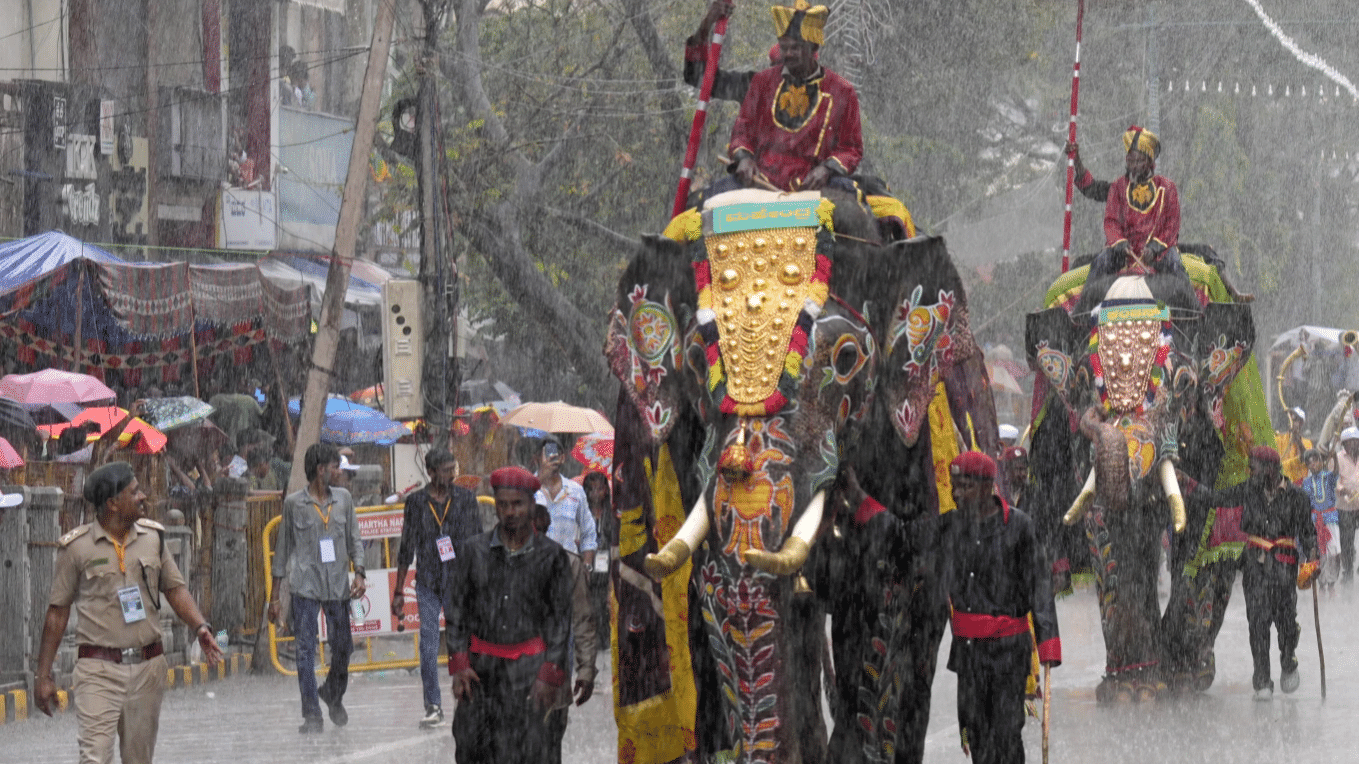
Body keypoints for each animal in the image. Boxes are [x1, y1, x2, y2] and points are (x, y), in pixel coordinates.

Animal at [1022, 252, 1267, 701]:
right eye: (1080, 383)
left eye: (1185, 383)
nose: (1098, 418)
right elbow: (1108, 525)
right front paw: (1132, 692)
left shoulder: (1210, 430)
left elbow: (1198, 529)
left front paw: (1180, 679)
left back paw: (1194, 671)